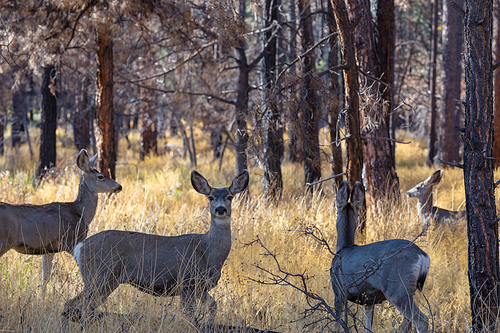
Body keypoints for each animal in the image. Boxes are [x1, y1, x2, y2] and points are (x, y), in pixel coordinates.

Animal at [0, 149, 122, 292]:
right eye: (100, 176)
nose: (119, 186)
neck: (81, 212)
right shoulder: (71, 240)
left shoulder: (48, 249)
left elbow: (45, 278)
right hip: (4, 241)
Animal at [62, 170, 250, 326]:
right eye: (210, 197)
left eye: (230, 197)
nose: (220, 209)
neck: (208, 252)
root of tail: (79, 247)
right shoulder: (187, 282)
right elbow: (189, 315)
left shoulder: (200, 287)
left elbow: (213, 306)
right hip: (99, 276)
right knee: (71, 304)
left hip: (103, 281)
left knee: (80, 307)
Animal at [332, 179, 430, 332]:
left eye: (336, 210)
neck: (343, 248)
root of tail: (422, 255)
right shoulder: (368, 300)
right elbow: (367, 326)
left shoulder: (338, 291)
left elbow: (336, 323)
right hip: (414, 289)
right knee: (408, 322)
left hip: (397, 289)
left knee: (421, 320)